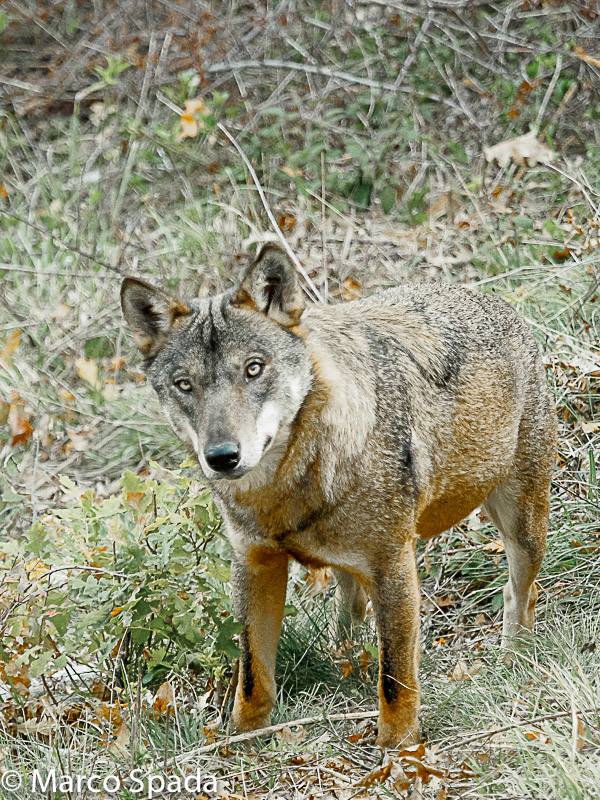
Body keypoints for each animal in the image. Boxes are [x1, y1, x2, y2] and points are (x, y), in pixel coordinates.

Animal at [122, 245, 556, 752]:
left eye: (253, 368)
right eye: (185, 385)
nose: (223, 457)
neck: (286, 490)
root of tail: (497, 302)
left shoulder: (393, 565)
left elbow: (395, 679)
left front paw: (397, 751)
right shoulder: (255, 564)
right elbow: (252, 677)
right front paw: (239, 744)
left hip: (522, 530)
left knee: (518, 593)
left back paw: (513, 660)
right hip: (356, 568)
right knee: (349, 612)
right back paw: (345, 664)